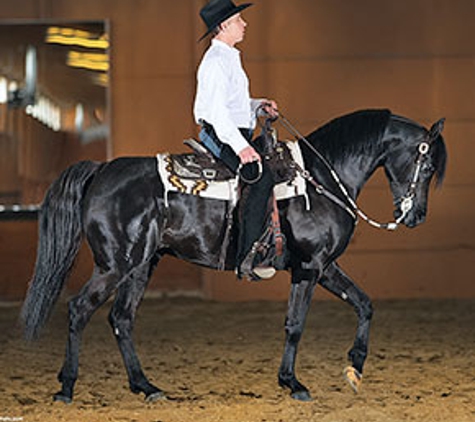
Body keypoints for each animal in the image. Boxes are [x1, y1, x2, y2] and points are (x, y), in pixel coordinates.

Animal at [20, 109, 448, 402]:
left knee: (122, 318)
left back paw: (146, 386)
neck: (321, 179)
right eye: (426, 164)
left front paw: (355, 367)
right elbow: (295, 325)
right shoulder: (309, 268)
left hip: (141, 265)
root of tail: (102, 169)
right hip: (115, 264)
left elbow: (364, 303)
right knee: (79, 309)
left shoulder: (325, 266)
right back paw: (67, 386)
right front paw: (293, 383)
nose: (416, 216)